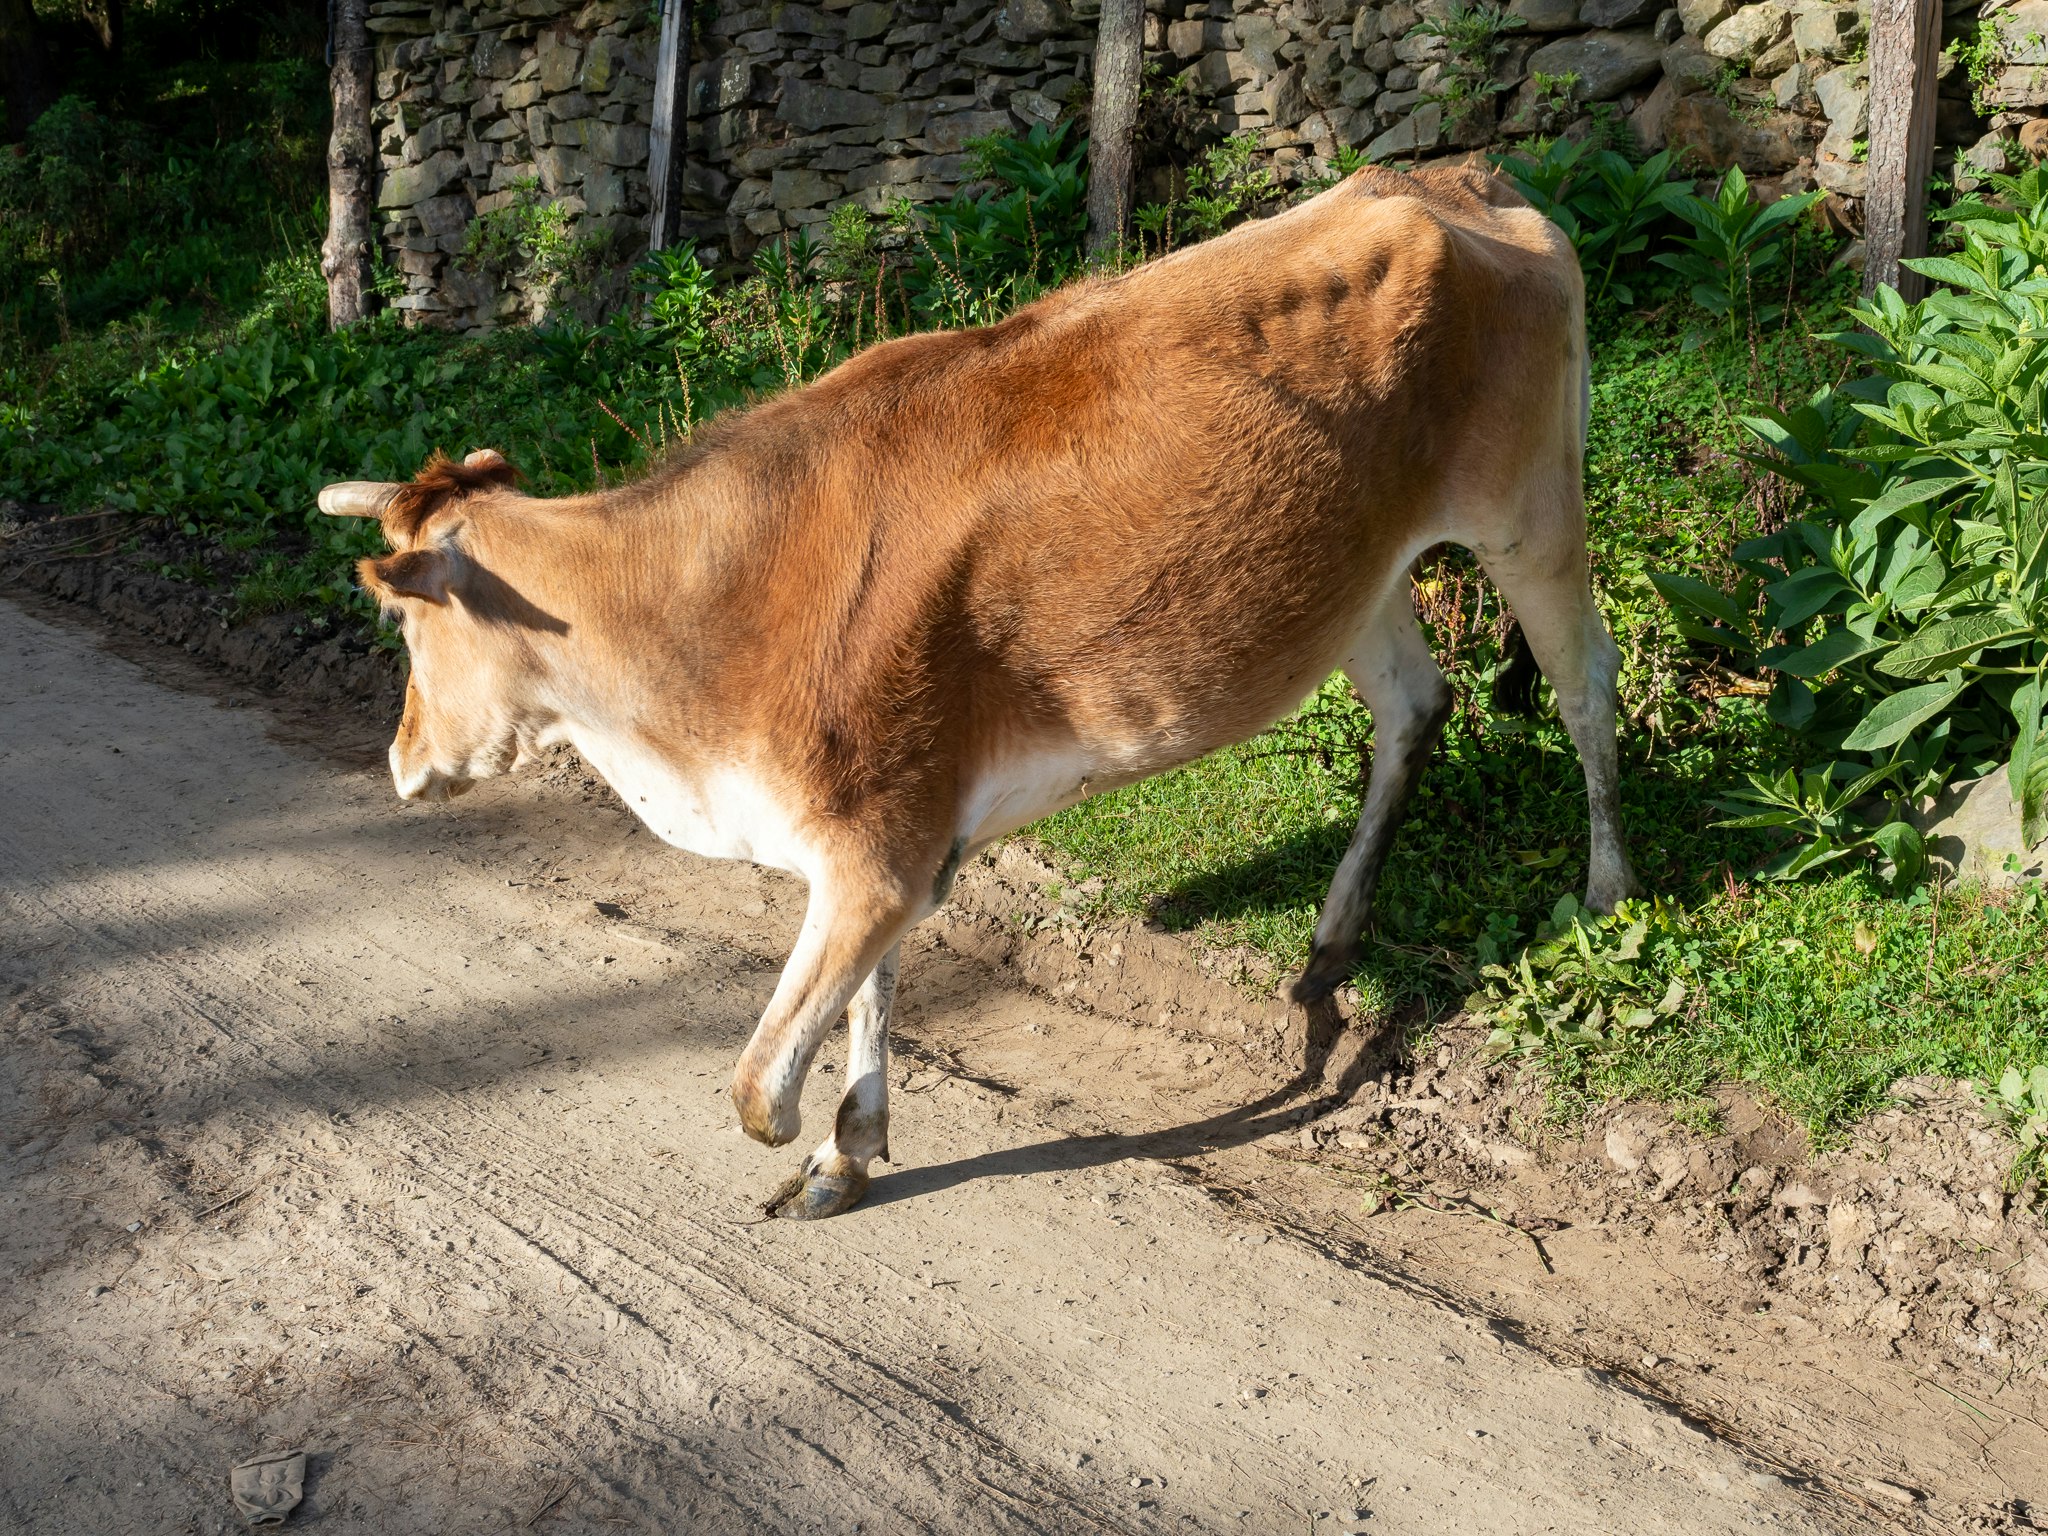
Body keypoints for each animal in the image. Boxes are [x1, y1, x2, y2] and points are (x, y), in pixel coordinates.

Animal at [317, 163, 1635, 1220]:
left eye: (402, 621)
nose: (399, 761)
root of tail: (1449, 177)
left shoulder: (876, 849)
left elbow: (757, 1085)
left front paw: (817, 1143)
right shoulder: (888, 834)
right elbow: (867, 999)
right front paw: (849, 1156)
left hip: (1527, 511)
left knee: (1586, 689)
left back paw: (1603, 892)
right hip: (1356, 578)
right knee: (1416, 704)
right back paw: (1328, 945)